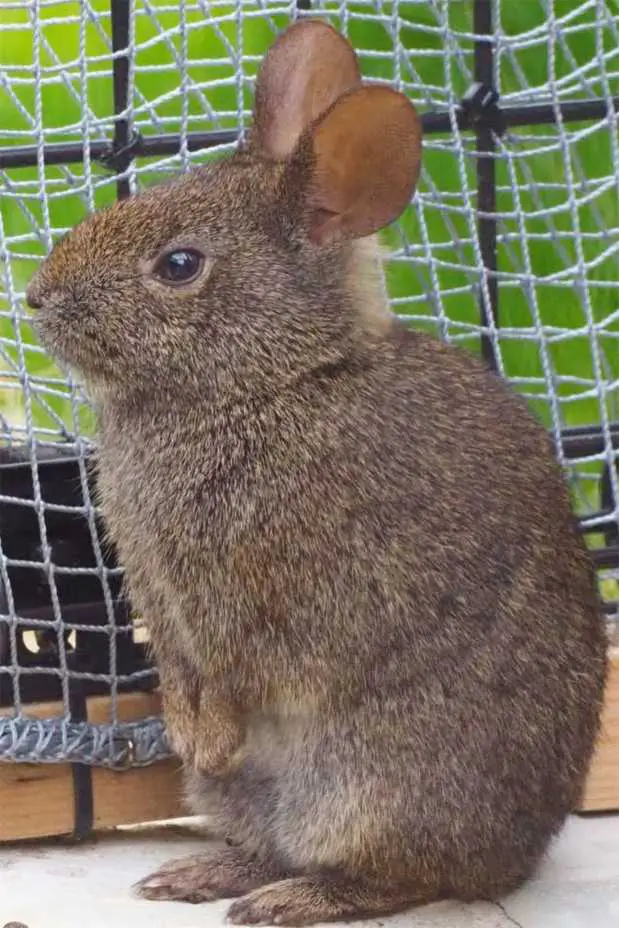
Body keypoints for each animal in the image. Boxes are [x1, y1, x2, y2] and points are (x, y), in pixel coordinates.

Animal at [26, 18, 608, 928]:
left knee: (401, 876)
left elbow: (237, 672)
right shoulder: (162, 598)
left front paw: (209, 739)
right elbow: (182, 671)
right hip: (267, 797)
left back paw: (287, 898)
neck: (273, 379)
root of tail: (515, 861)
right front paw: (189, 737)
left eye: (179, 265)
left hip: (374, 784)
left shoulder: (259, 601)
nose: (36, 298)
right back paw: (200, 874)